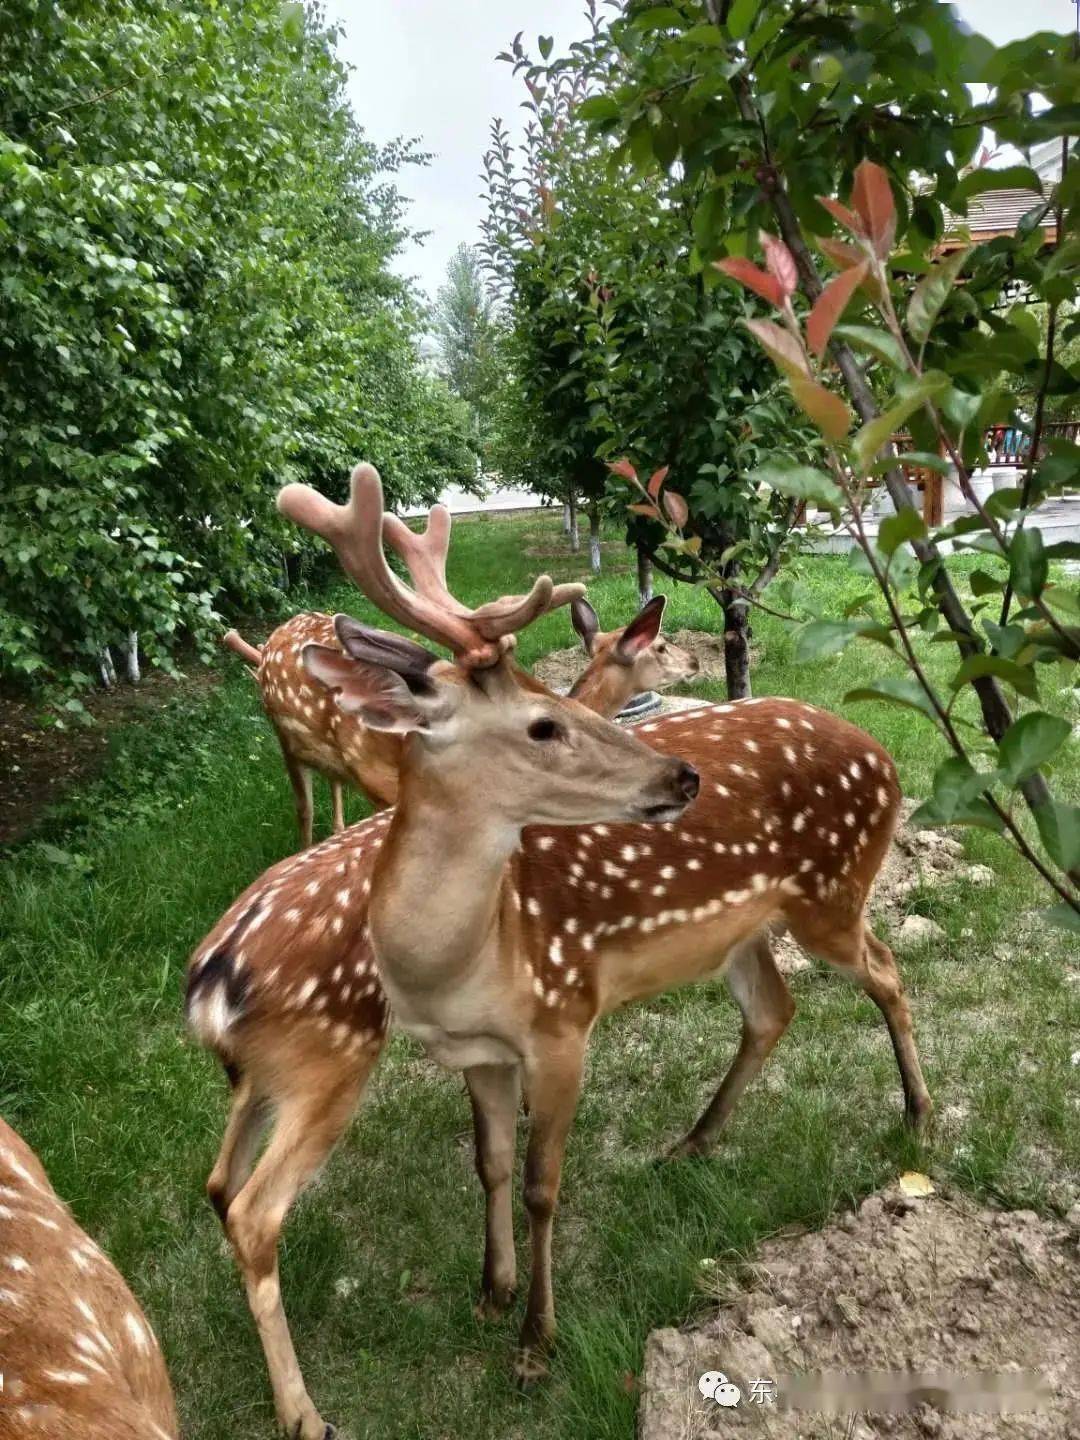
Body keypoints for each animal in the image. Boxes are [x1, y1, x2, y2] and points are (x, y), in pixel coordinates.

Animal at [185, 460, 933, 1440]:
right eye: (542, 725)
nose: (681, 777)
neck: (466, 968)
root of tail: (884, 755)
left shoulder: (566, 1017)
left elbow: (543, 1181)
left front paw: (536, 1341)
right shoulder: (477, 1051)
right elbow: (492, 1163)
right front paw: (491, 1292)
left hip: (829, 894)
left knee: (883, 974)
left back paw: (917, 1115)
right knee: (778, 1009)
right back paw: (694, 1141)